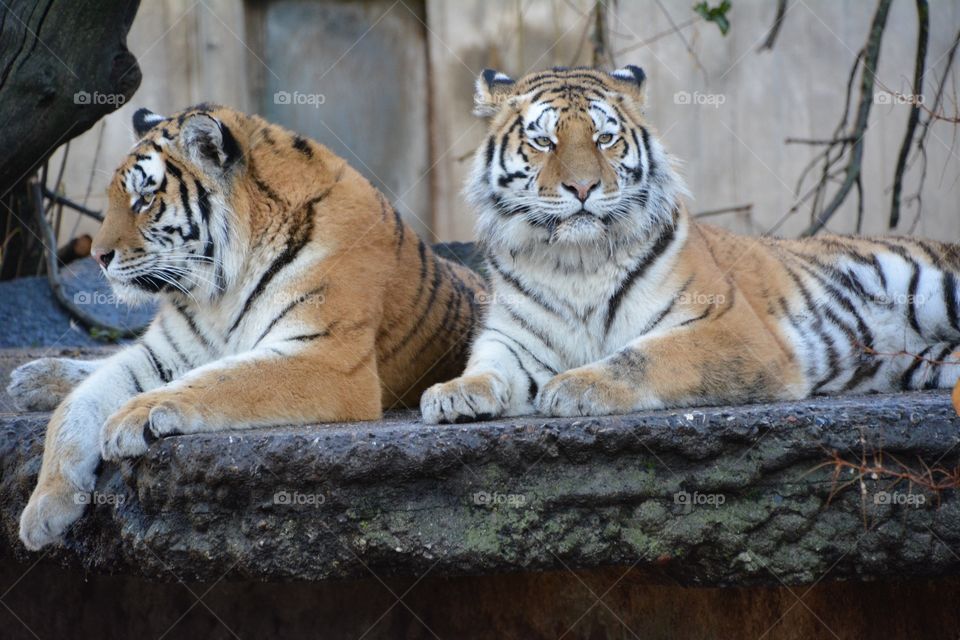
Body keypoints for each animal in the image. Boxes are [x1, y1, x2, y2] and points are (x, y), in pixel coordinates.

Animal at [8, 105, 484, 552]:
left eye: (144, 200)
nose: (98, 256)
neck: (219, 290)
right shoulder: (162, 353)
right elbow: (77, 406)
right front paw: (42, 510)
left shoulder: (328, 359)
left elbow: (224, 379)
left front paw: (132, 416)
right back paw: (32, 378)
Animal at [424, 65, 960, 424]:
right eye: (544, 142)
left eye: (604, 139)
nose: (582, 188)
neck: (577, 261)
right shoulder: (512, 339)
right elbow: (488, 366)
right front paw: (451, 393)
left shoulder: (730, 327)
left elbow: (643, 355)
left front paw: (574, 386)